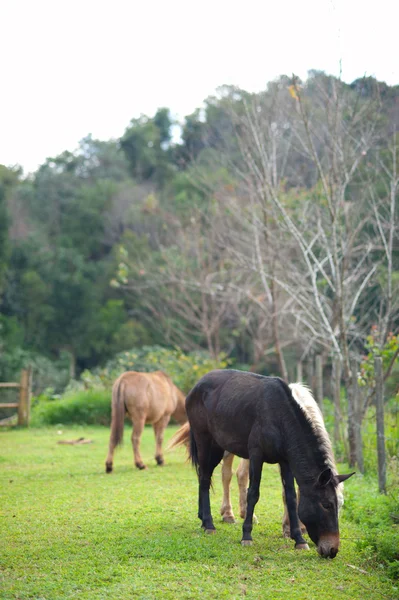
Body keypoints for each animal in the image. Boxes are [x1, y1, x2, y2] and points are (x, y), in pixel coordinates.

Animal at [183, 370, 354, 556]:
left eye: (340, 505)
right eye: (326, 504)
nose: (332, 549)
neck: (279, 417)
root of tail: (197, 385)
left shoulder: (286, 461)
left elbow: (291, 496)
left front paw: (299, 539)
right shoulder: (256, 455)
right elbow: (253, 493)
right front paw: (247, 536)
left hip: (217, 447)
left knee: (203, 475)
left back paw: (203, 518)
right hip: (205, 441)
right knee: (205, 479)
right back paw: (209, 524)